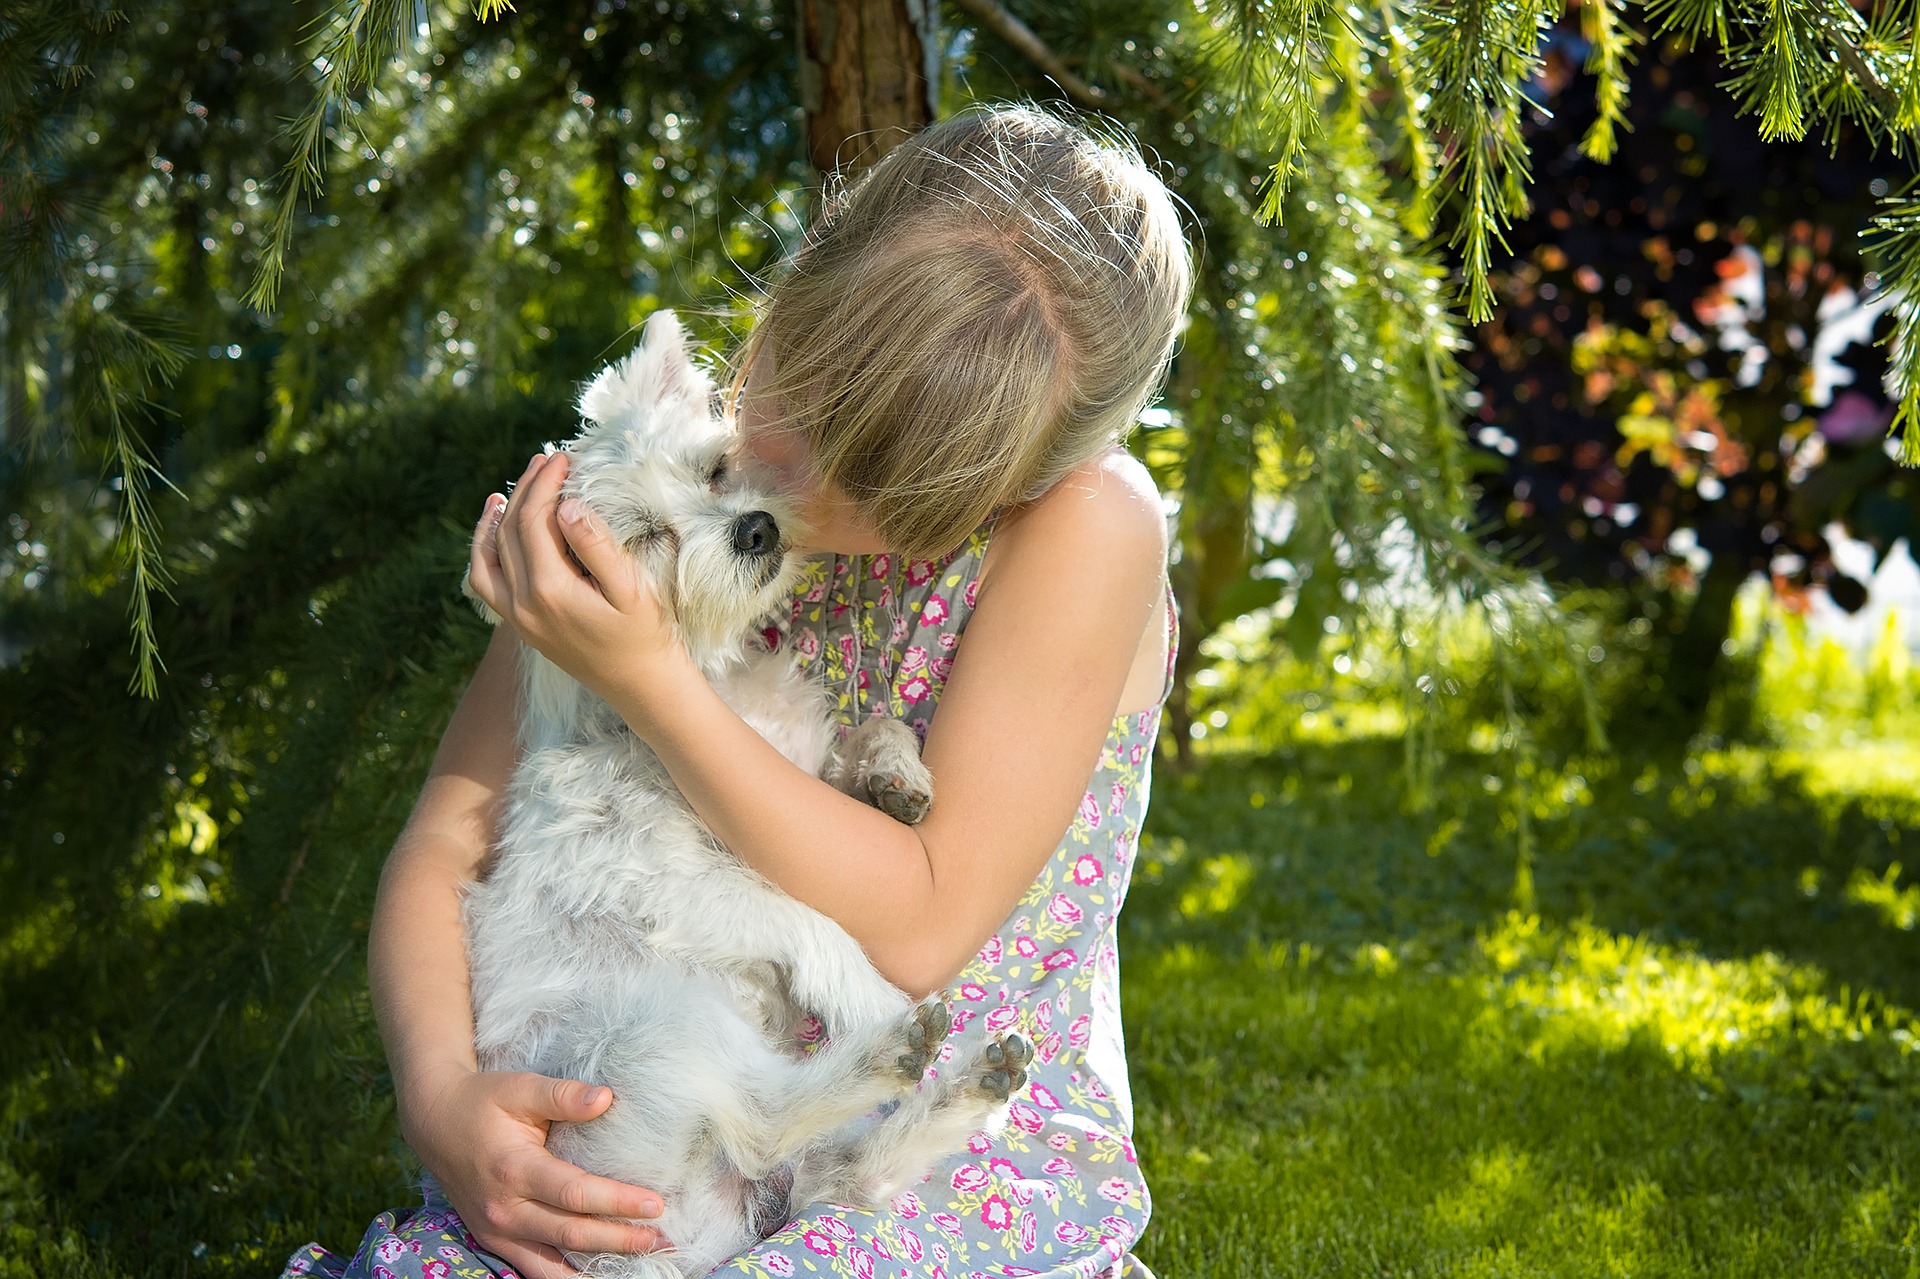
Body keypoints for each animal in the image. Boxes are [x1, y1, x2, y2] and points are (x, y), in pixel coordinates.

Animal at [460, 311, 1036, 1275]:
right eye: (644, 537)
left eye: (716, 470)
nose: (757, 529)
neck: (715, 688)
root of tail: (673, 1247)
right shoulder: (676, 884)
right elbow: (811, 920)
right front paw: (869, 993)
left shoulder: (794, 770)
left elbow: (874, 726)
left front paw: (895, 776)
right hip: (653, 1035)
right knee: (767, 1120)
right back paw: (895, 1042)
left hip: (767, 1143)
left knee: (854, 1171)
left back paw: (967, 1090)